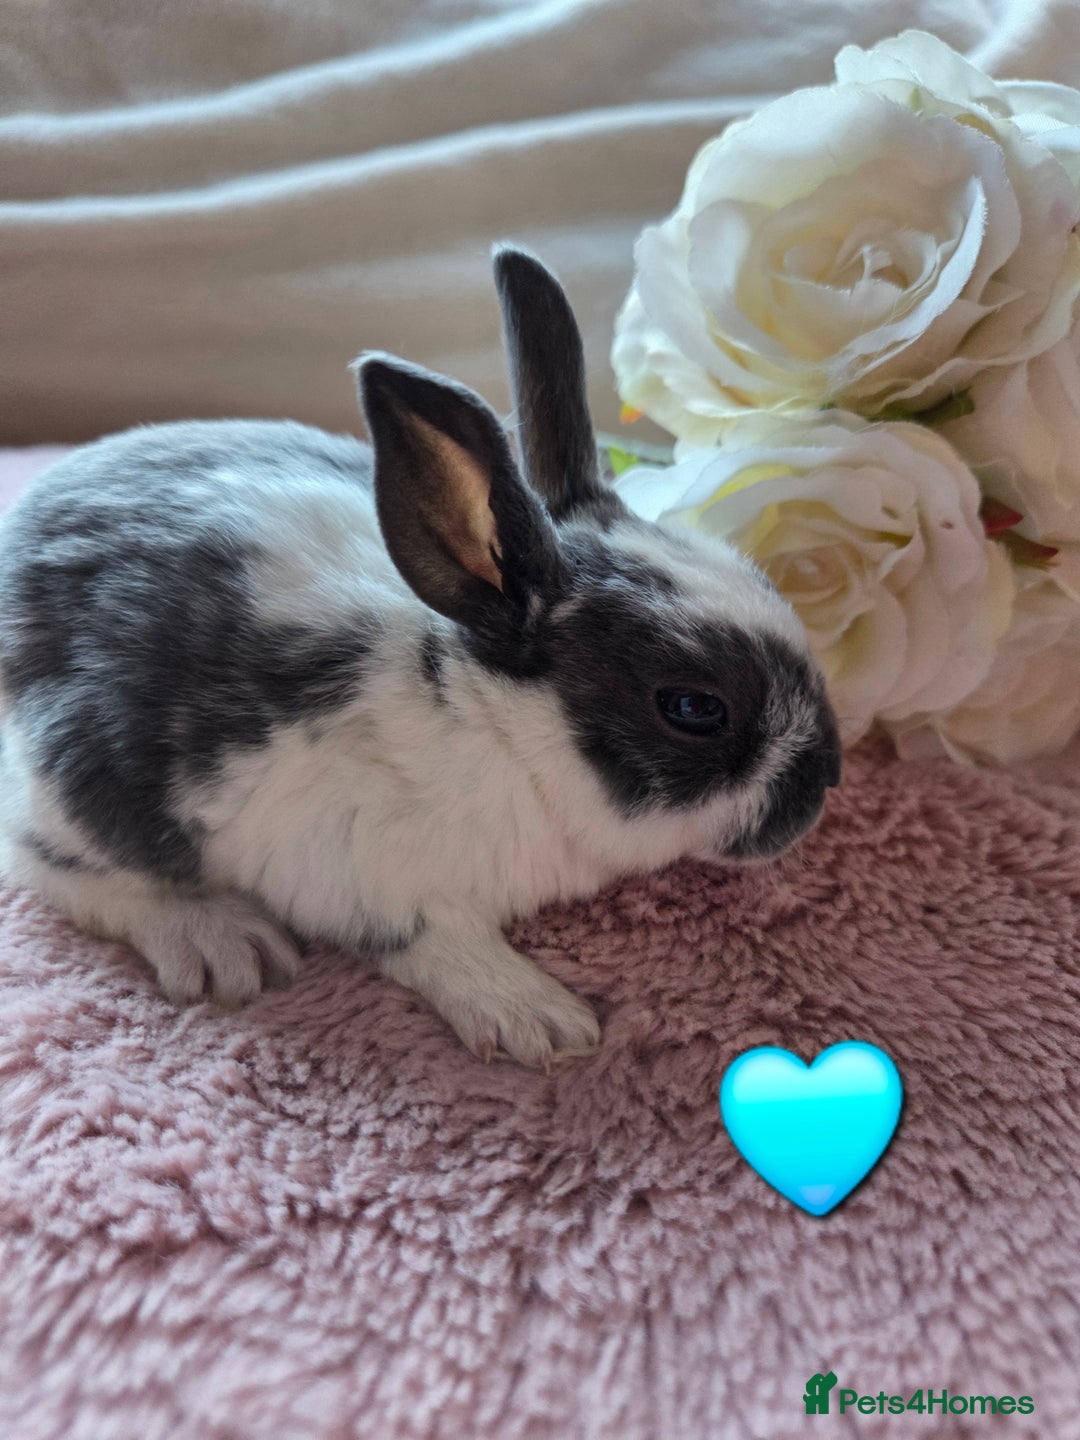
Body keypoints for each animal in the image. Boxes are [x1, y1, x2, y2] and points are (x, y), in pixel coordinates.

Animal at [0, 245, 841, 1069]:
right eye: (694, 707)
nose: (827, 777)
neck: (491, 728)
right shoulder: (366, 877)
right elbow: (436, 942)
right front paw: (542, 1022)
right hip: (75, 788)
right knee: (54, 866)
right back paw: (224, 944)